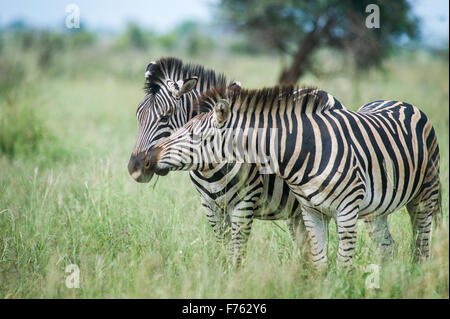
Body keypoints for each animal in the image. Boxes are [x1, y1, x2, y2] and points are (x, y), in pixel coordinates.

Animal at [127, 58, 310, 264]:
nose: (135, 168)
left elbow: (237, 254)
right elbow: (224, 248)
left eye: (165, 117)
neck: (208, 168)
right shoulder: (210, 205)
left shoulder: (244, 203)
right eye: (138, 115)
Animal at [146, 85, 442, 268]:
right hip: (375, 209)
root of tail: (400, 102)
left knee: (422, 244)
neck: (303, 151)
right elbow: (321, 263)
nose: (148, 157)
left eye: (194, 136)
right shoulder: (312, 211)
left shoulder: (346, 211)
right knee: (386, 246)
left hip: (423, 196)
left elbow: (343, 263)